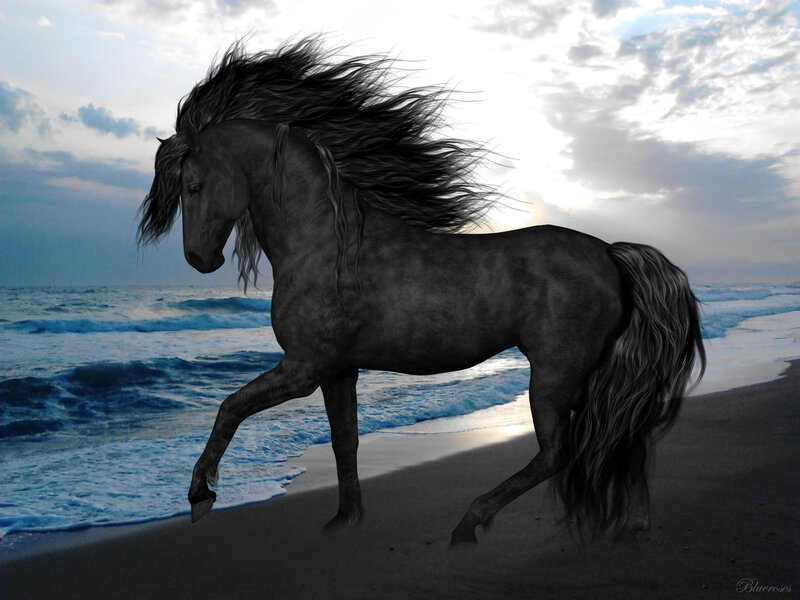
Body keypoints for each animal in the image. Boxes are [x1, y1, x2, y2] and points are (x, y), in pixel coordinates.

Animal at [137, 38, 705, 546]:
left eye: (193, 185)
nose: (199, 259)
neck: (326, 245)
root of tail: (611, 253)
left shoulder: (302, 369)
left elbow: (230, 407)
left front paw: (200, 494)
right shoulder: (337, 370)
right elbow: (344, 442)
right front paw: (345, 520)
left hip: (555, 374)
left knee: (557, 453)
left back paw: (469, 523)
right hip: (588, 375)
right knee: (625, 439)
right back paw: (631, 527)